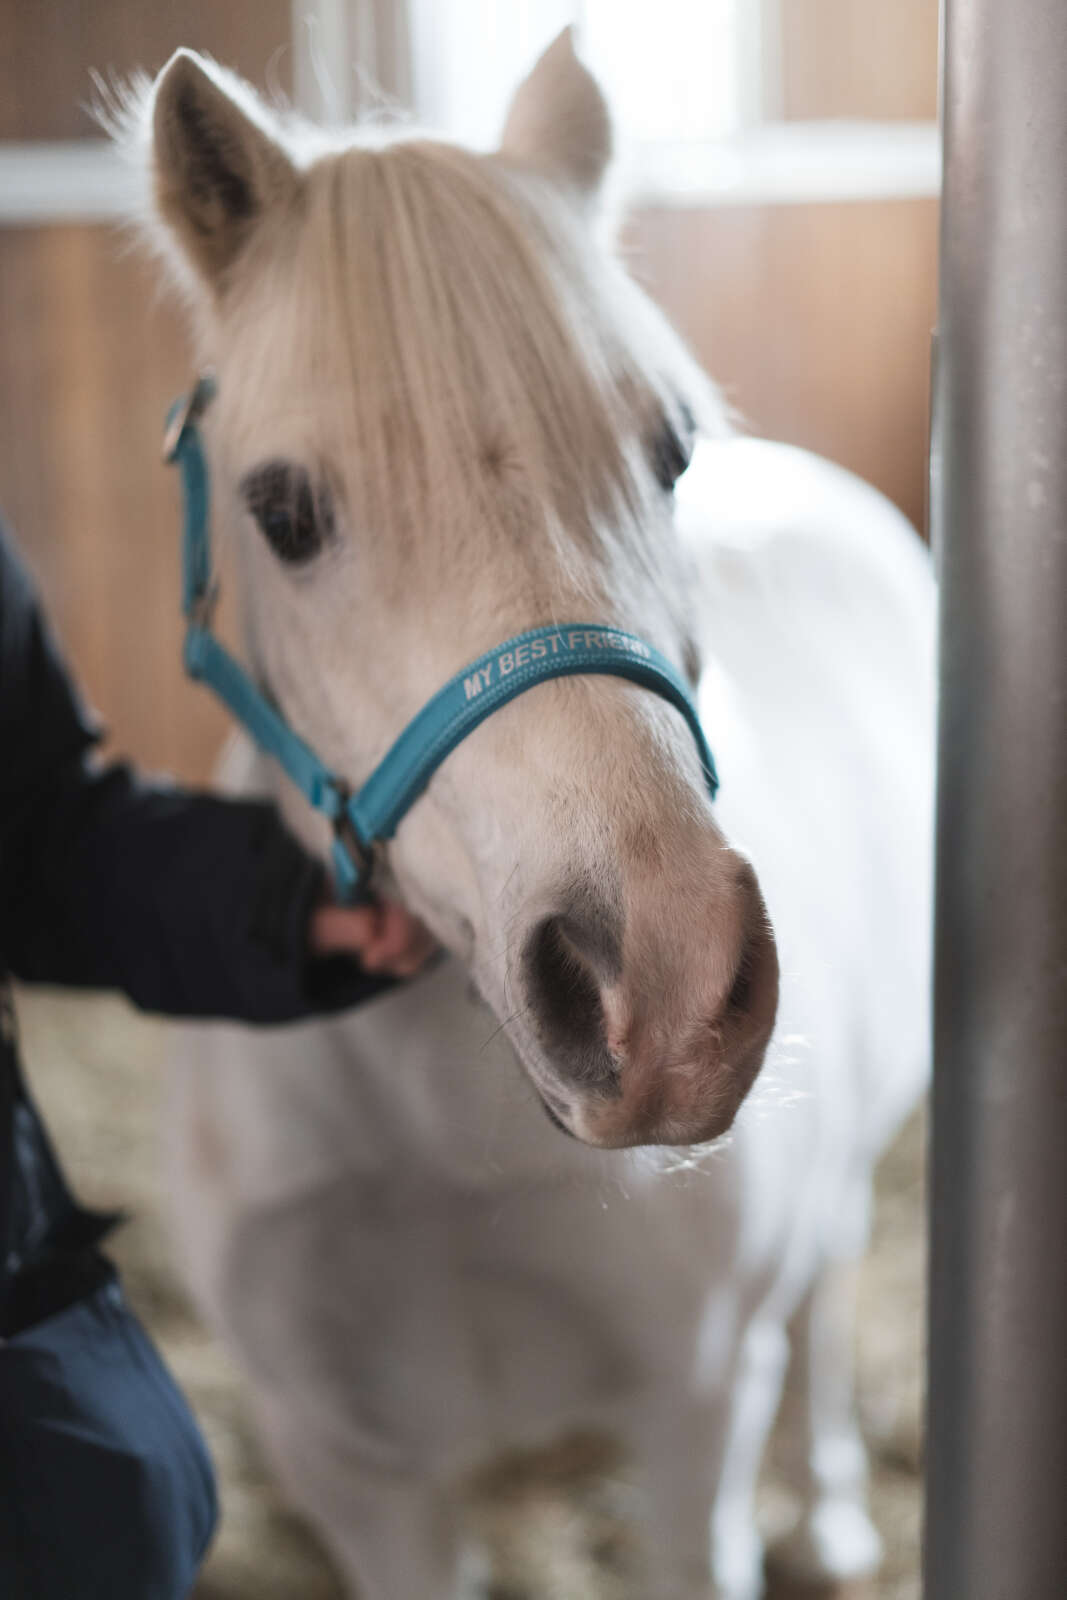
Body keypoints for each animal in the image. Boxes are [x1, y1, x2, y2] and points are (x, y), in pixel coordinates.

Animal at [121, 30, 934, 1599]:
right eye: (281, 513)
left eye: (669, 452)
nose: (663, 986)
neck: (446, 1144)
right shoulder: (357, 1474)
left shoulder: (694, 1412)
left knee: (828, 1275)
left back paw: (833, 1509)